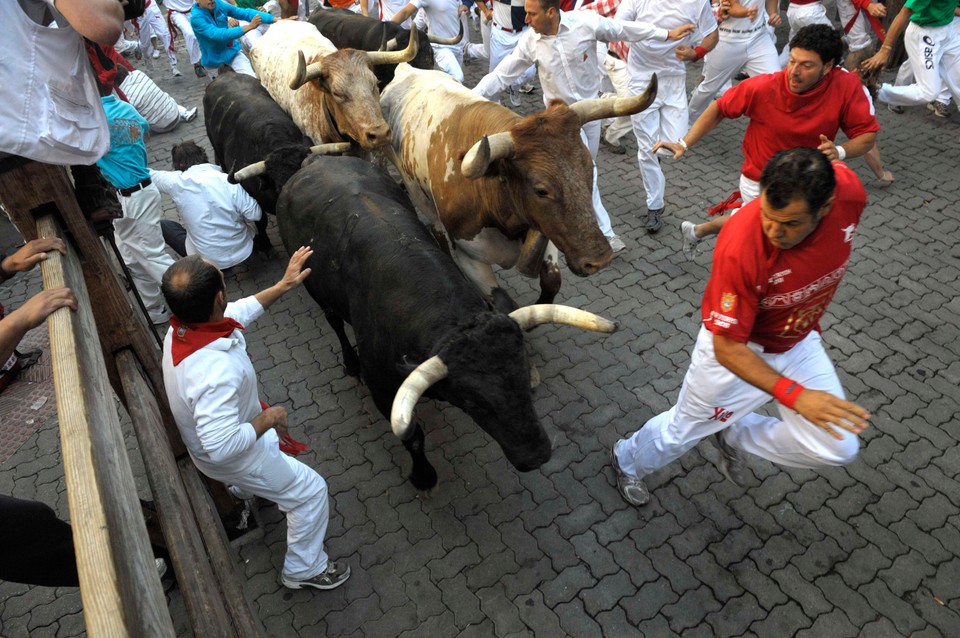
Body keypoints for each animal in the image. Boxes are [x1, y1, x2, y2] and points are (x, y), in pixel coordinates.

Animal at [276, 158, 548, 492]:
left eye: (524, 376)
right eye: (473, 401)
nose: (537, 455)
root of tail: (315, 161)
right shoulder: (383, 391)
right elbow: (413, 438)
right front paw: (423, 476)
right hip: (313, 288)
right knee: (334, 321)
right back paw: (350, 364)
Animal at [378, 63, 656, 312]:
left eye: (590, 170)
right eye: (541, 190)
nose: (600, 259)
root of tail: (406, 69)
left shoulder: (545, 228)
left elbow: (552, 281)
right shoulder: (470, 256)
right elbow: (505, 304)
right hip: (418, 192)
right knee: (435, 226)